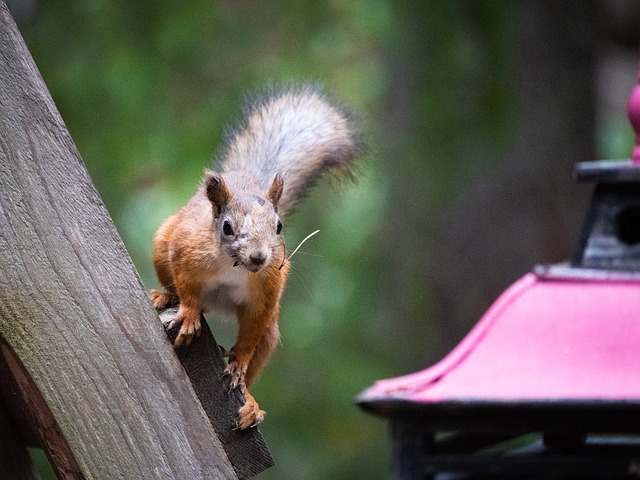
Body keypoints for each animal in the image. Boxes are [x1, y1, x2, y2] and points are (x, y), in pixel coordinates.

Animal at [147, 84, 362, 430]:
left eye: (279, 226)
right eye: (227, 227)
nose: (260, 257)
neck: (235, 267)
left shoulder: (267, 292)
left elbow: (250, 335)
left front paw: (239, 363)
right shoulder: (186, 252)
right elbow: (188, 290)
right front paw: (190, 314)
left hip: (270, 334)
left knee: (259, 351)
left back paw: (250, 404)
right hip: (162, 241)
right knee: (172, 287)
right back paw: (164, 297)